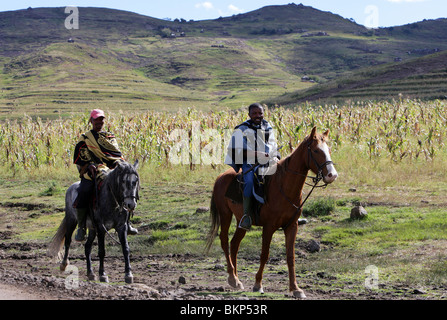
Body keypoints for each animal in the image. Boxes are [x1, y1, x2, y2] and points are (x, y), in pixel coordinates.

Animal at [205, 125, 338, 298]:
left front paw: (296, 288)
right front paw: (258, 284)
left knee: (234, 244)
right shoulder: (269, 227)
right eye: (316, 150)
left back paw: (237, 279)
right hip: (225, 214)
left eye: (329, 149)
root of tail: (221, 177)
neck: (284, 186)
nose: (332, 175)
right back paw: (232, 278)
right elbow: (264, 254)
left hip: (242, 221)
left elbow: (290, 257)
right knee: (224, 241)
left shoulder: (291, 226)